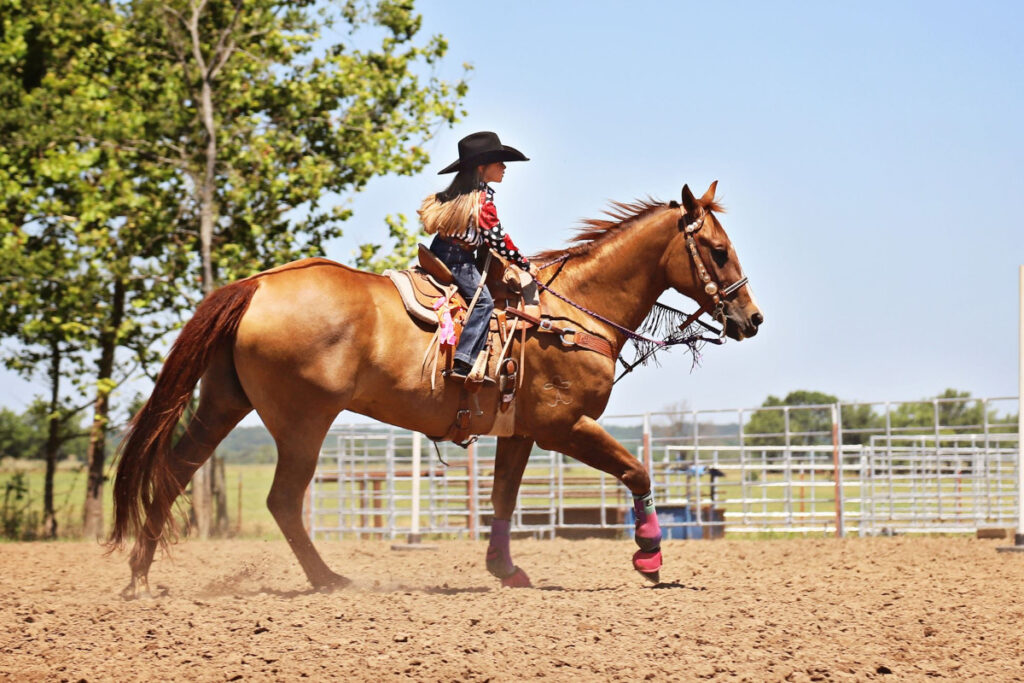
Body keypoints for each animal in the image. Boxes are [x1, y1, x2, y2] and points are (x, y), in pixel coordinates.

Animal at [110, 179, 761, 593]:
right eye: (718, 251)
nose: (751, 319)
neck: (570, 315)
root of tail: (258, 285)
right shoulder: (564, 427)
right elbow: (637, 471)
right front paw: (649, 557)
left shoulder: (520, 432)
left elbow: (501, 500)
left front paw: (505, 570)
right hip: (302, 422)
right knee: (282, 501)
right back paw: (329, 580)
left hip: (223, 403)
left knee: (173, 473)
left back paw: (140, 578)